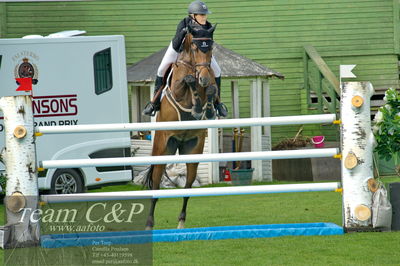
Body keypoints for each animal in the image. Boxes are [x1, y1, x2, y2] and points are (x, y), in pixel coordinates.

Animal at [145, 23, 217, 230]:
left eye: (210, 48)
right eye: (194, 47)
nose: (203, 77)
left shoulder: (210, 81)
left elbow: (211, 89)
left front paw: (206, 109)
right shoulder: (178, 89)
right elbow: (187, 81)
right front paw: (196, 105)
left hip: (192, 151)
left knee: (187, 187)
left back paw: (181, 223)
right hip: (162, 149)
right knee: (155, 185)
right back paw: (149, 223)